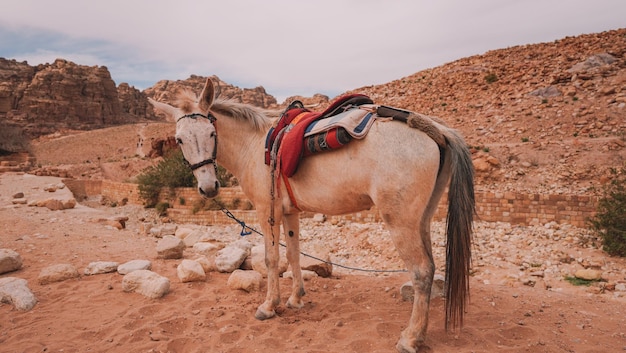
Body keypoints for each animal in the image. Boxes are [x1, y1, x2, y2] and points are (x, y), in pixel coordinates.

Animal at [150, 77, 472, 352]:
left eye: (211, 133)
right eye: (179, 139)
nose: (208, 187)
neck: (253, 144)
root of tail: (436, 130)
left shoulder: (267, 210)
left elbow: (271, 259)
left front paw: (269, 306)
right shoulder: (290, 212)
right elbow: (293, 254)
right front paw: (296, 299)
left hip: (401, 222)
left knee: (421, 271)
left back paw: (410, 338)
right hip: (422, 219)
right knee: (431, 267)